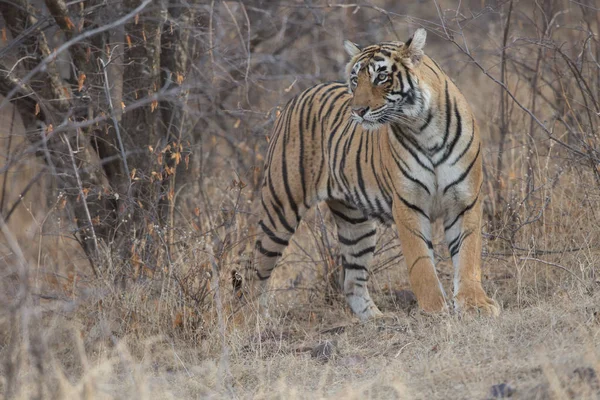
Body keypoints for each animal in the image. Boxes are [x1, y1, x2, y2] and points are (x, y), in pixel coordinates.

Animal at [241, 28, 500, 320]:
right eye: (355, 80)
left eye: (381, 77)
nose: (357, 111)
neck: (424, 128)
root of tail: (297, 96)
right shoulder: (408, 205)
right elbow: (421, 263)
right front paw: (435, 309)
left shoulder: (464, 200)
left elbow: (468, 255)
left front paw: (475, 304)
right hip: (280, 209)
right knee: (254, 272)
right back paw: (247, 322)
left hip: (356, 224)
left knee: (351, 281)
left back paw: (377, 319)